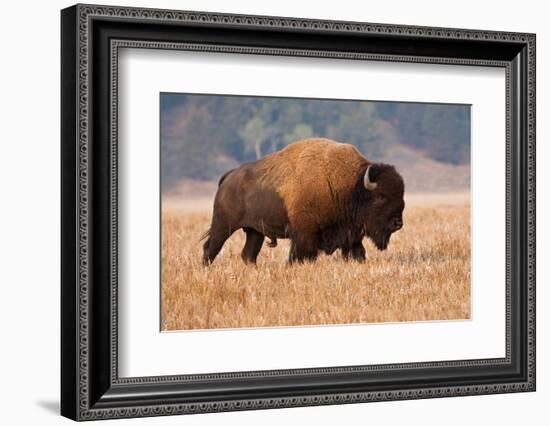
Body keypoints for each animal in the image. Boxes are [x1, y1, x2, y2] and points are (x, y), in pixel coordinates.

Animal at [203, 138, 406, 264]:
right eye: (381, 196)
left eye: (401, 195)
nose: (398, 223)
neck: (350, 186)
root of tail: (229, 177)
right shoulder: (304, 235)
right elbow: (299, 256)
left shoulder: (351, 236)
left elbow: (358, 253)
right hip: (224, 225)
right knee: (210, 248)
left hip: (254, 231)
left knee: (248, 255)